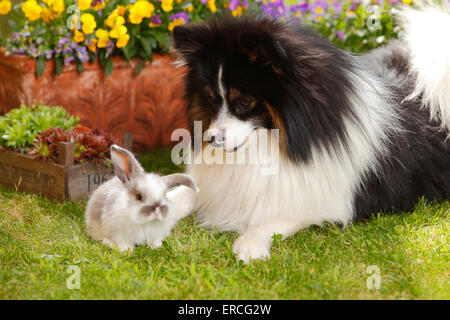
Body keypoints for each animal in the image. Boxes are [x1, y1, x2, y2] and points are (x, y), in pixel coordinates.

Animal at [171, 5, 450, 262]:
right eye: (212, 99)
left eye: (244, 101)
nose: (210, 138)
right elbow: (185, 193)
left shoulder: (323, 198)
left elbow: (277, 218)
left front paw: (250, 243)